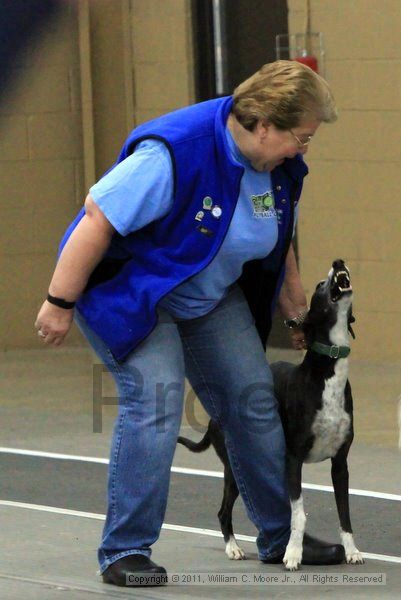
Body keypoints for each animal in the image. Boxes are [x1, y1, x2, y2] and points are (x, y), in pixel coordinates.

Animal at [177, 260, 362, 568]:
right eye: (319, 286)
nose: (338, 262)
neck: (327, 373)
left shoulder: (340, 463)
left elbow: (345, 513)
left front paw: (351, 551)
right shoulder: (293, 459)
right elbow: (298, 514)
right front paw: (294, 553)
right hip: (234, 467)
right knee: (223, 510)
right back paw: (233, 548)